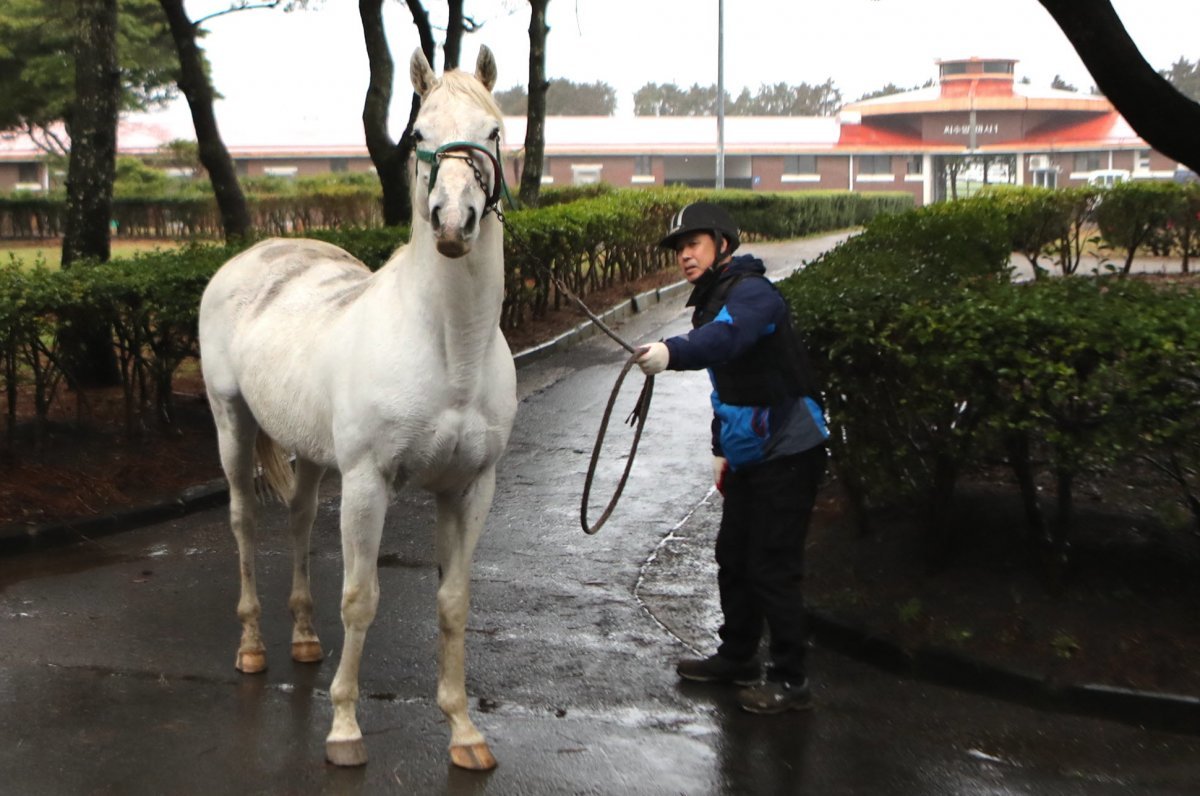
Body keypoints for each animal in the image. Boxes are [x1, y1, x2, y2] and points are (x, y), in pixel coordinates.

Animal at [196, 46, 516, 768]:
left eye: (493, 132)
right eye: (419, 132)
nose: (453, 222)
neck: (449, 348)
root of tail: (255, 254)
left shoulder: (470, 487)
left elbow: (453, 602)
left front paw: (464, 731)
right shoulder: (369, 481)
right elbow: (361, 598)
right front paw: (343, 728)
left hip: (312, 452)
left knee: (299, 520)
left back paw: (303, 639)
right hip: (232, 423)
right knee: (244, 522)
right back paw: (253, 647)